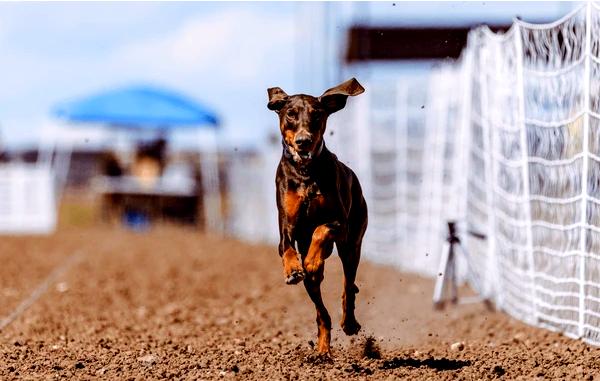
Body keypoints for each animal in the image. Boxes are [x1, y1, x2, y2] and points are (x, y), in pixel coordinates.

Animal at [266, 77, 368, 354]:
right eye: (290, 113)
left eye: (317, 114)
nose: (303, 140)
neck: (305, 172)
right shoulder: (286, 226)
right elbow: (287, 247)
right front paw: (293, 269)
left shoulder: (340, 224)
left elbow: (321, 229)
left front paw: (311, 260)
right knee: (322, 312)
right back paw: (322, 350)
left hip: (352, 244)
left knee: (348, 285)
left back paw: (349, 322)